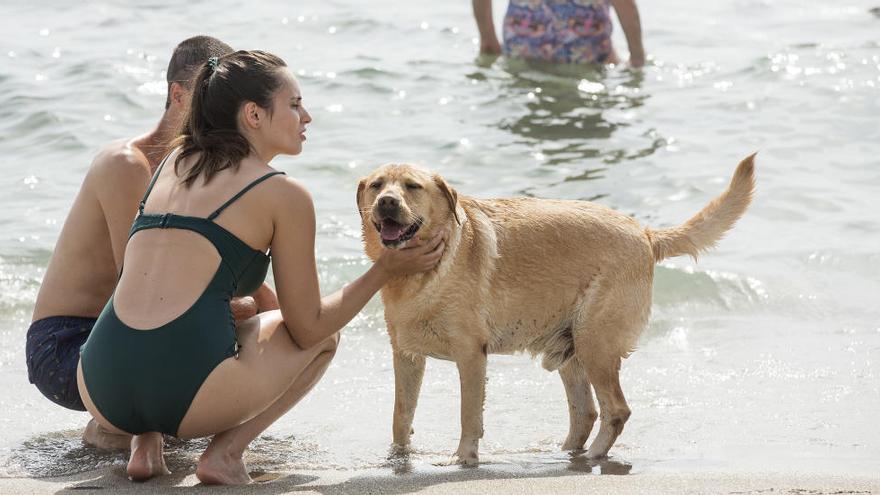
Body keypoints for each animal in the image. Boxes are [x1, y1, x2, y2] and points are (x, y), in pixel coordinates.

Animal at [358, 155, 756, 464]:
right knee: (586, 413)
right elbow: (400, 414)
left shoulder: (471, 356)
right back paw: (564, 453)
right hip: (572, 351)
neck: (421, 272)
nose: (387, 202)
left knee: (616, 410)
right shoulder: (406, 356)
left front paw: (464, 459)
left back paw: (594, 456)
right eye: (377, 185)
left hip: (596, 344)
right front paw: (397, 458)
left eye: (412, 186)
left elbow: (468, 415)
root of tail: (645, 234)